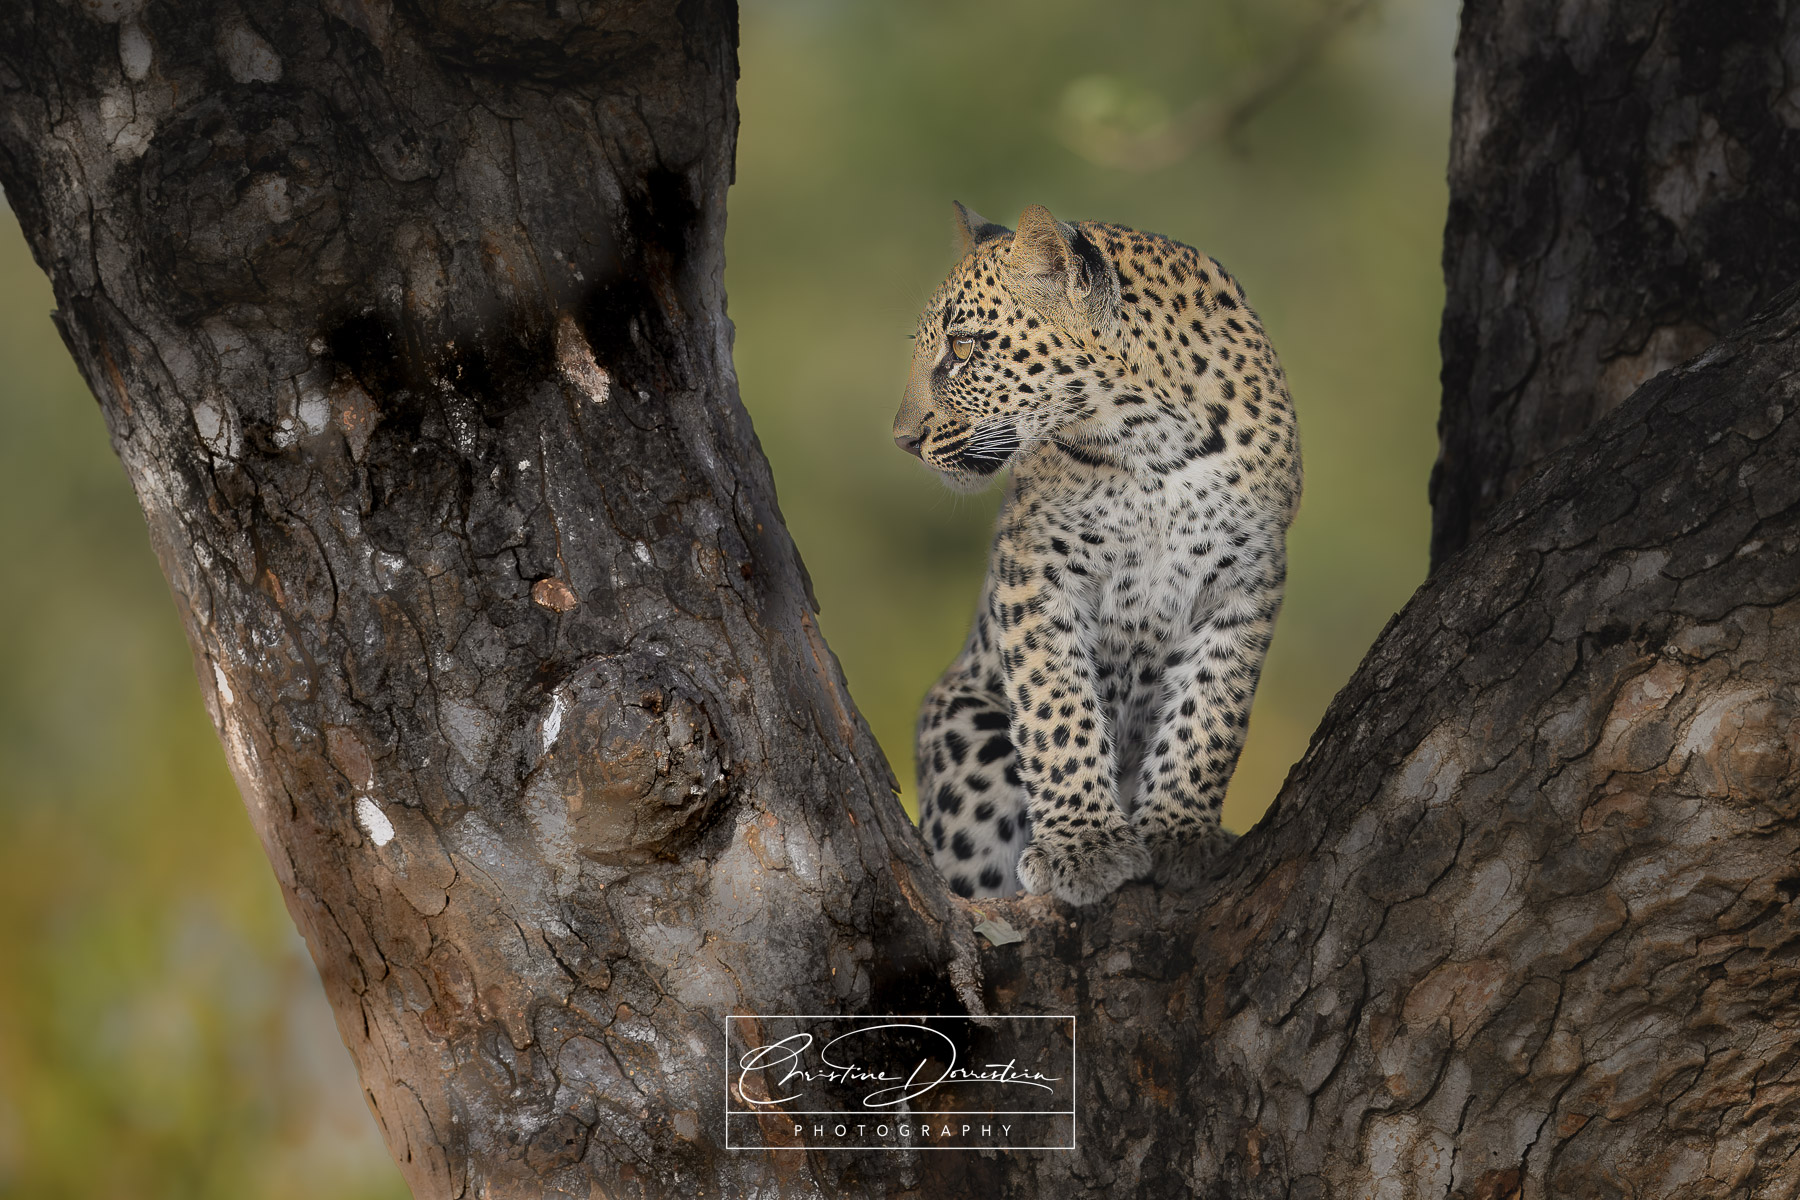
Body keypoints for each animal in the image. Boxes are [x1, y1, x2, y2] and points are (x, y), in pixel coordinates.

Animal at [894, 202, 1301, 906]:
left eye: (964, 348)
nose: (903, 438)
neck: (1154, 445)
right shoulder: (1033, 568)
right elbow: (1056, 704)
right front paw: (1083, 847)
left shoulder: (1248, 581)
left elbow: (1209, 713)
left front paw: (1178, 835)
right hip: (965, 733)